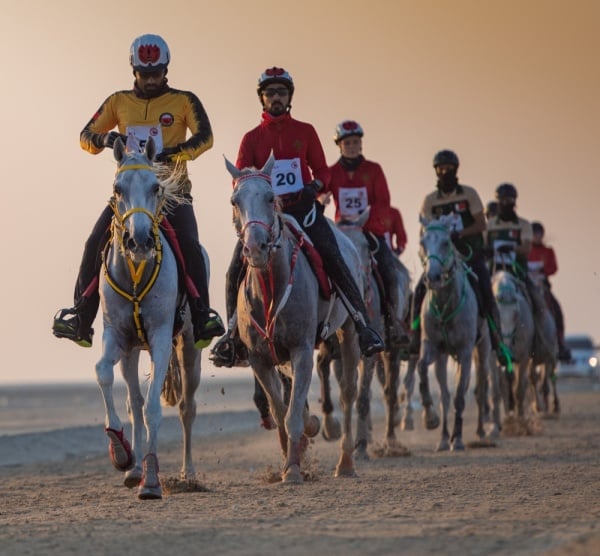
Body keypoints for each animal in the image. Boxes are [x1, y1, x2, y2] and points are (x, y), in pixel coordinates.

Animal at [96, 139, 203, 500]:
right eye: (117, 188)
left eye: (156, 186)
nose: (139, 240)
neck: (135, 271)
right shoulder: (116, 336)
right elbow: (104, 373)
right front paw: (120, 453)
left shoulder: (160, 339)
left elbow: (155, 409)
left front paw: (153, 482)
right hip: (131, 352)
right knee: (134, 401)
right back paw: (134, 469)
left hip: (189, 348)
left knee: (186, 407)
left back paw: (188, 473)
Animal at [418, 215, 496, 450]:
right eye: (423, 242)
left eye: (446, 242)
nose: (432, 277)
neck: (445, 304)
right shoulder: (432, 347)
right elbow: (423, 370)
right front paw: (431, 419)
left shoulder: (464, 351)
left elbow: (461, 396)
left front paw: (459, 438)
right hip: (444, 357)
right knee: (445, 394)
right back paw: (445, 437)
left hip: (482, 350)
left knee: (480, 388)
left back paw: (479, 431)